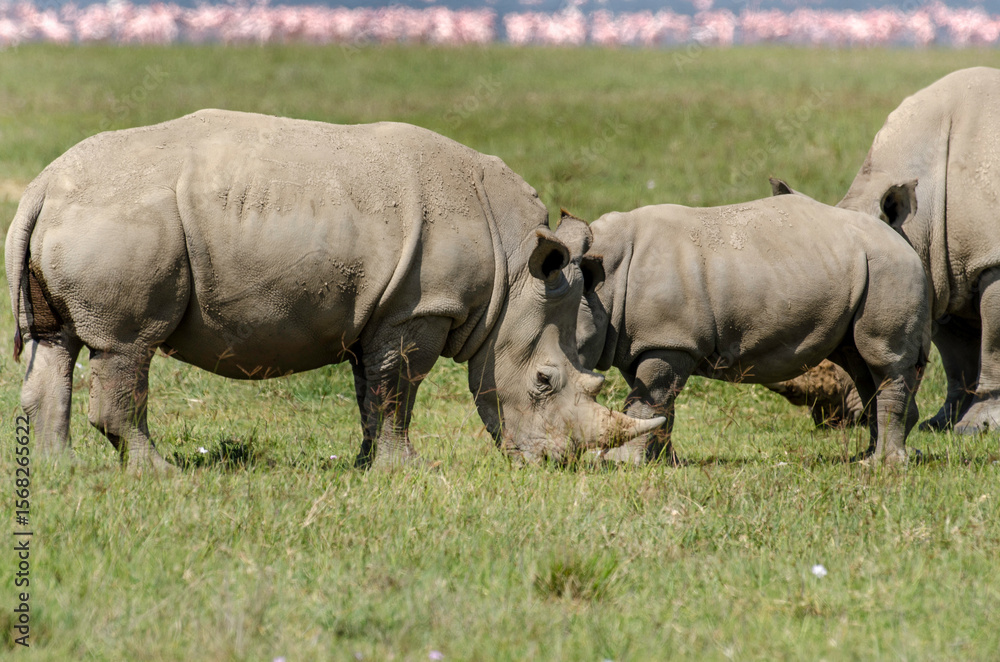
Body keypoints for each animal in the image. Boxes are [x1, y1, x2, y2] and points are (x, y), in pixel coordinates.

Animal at [6, 109, 663, 472]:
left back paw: (63, 472)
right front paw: (411, 472)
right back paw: (158, 474)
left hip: (84, 212)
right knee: (127, 346)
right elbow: (400, 389)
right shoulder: (419, 309)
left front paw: (368, 466)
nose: (552, 465)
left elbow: (372, 389)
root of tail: (42, 184)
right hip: (122, 218)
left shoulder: (380, 309)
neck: (512, 274)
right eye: (544, 382)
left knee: (56, 344)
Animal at [575, 184, 930, 464]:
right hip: (860, 270)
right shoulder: (642, 341)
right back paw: (865, 457)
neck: (605, 280)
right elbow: (658, 404)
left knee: (882, 360)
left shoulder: (669, 341)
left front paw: (624, 463)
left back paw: (883, 465)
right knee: (858, 362)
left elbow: (649, 401)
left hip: (890, 268)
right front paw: (664, 463)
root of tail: (905, 242)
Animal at [835, 66, 1000, 434]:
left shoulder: (991, 261)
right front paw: (943, 423)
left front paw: (980, 425)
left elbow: (993, 346)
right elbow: (957, 358)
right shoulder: (943, 267)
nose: (844, 415)